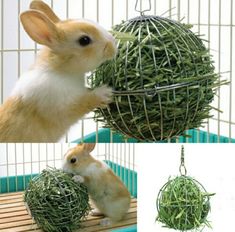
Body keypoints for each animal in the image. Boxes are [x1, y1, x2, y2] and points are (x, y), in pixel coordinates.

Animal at [0, 0, 116, 142]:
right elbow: (84, 102)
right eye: (84, 40)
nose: (114, 45)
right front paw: (105, 92)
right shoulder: (62, 105)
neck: (61, 71)